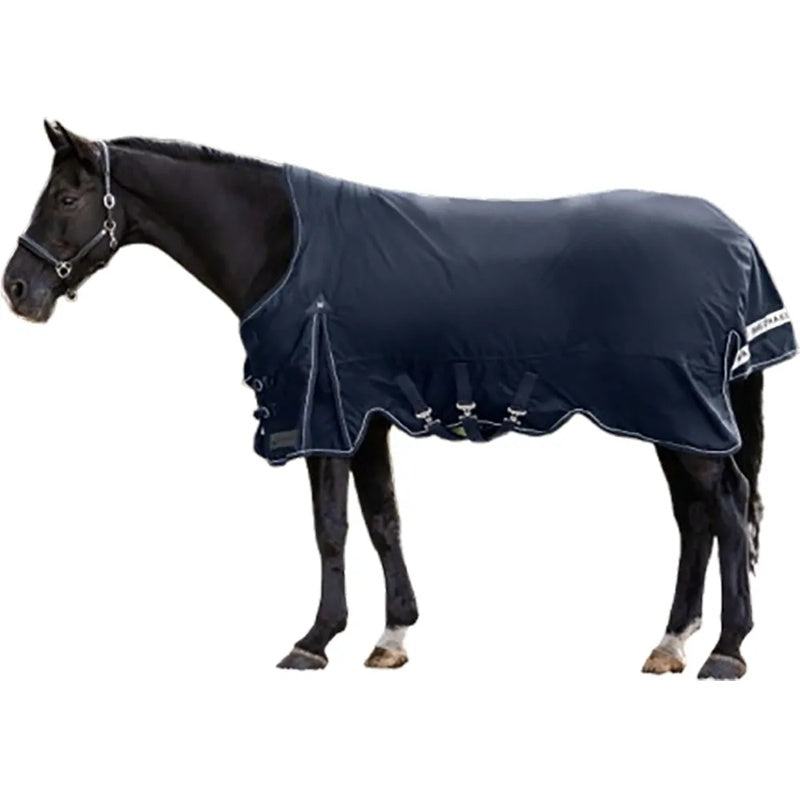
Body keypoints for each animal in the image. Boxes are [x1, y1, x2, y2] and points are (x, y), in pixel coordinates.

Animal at [4, 121, 795, 678]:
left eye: (67, 197)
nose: (18, 288)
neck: (284, 248)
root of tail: (737, 241)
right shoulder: (367, 420)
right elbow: (383, 521)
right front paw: (392, 634)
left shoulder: (323, 417)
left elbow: (331, 528)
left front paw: (315, 640)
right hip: (672, 420)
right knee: (695, 519)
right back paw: (672, 642)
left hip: (682, 414)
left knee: (726, 508)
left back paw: (727, 651)